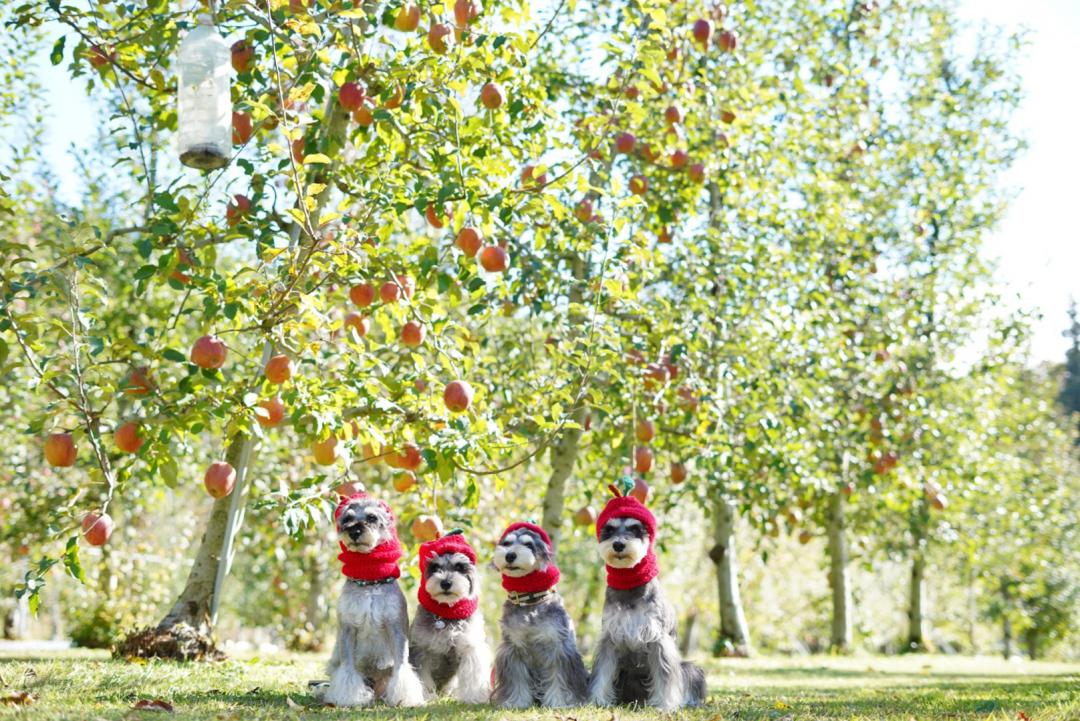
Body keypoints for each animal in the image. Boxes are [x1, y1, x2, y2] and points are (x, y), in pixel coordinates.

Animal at [317, 492, 423, 708]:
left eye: (372, 517)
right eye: (347, 519)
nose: (355, 531)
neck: (368, 581)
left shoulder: (395, 627)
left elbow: (401, 665)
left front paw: (405, 697)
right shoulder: (348, 628)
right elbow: (348, 669)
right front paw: (348, 697)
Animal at [406, 528, 492, 703]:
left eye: (460, 567)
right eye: (434, 567)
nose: (445, 583)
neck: (447, 613)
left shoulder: (470, 648)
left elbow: (473, 676)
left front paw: (474, 697)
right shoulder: (422, 650)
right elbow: (423, 678)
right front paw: (427, 696)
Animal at [492, 520, 591, 708]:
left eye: (528, 544)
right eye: (506, 543)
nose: (509, 555)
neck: (530, 600)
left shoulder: (558, 647)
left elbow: (558, 678)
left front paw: (559, 702)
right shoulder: (513, 649)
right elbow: (517, 679)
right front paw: (516, 702)